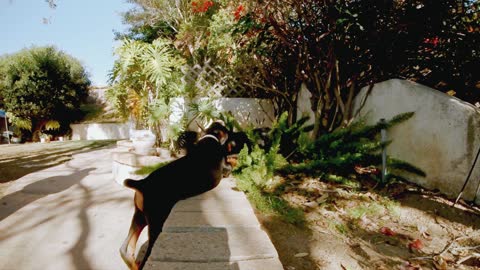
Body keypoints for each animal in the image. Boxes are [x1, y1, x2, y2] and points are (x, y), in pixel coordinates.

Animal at [121, 123, 237, 270]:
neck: (210, 137)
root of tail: (142, 183)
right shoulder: (225, 168)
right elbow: (231, 165)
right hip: (156, 221)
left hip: (140, 216)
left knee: (124, 249)